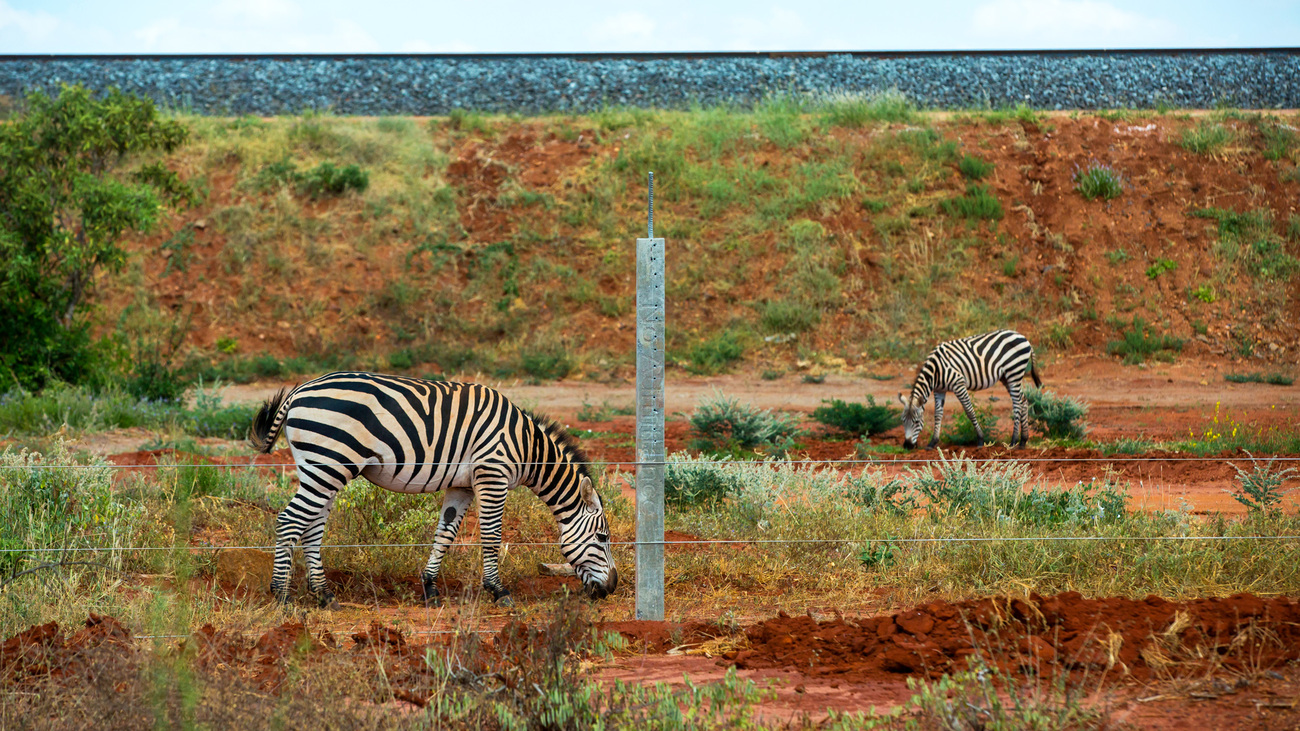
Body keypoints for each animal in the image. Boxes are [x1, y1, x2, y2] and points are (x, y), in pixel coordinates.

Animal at [250, 369, 621, 603]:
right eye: (603, 538)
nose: (613, 588)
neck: (528, 446)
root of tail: (299, 390)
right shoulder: (492, 475)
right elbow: (491, 536)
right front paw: (498, 591)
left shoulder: (463, 485)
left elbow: (445, 533)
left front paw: (429, 589)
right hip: (328, 464)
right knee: (290, 521)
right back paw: (281, 595)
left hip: (323, 468)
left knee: (312, 526)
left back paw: (324, 595)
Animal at [894, 327, 1045, 447]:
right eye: (903, 421)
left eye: (916, 422)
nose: (907, 446)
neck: (935, 370)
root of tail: (1024, 338)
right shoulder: (939, 390)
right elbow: (938, 414)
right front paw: (933, 442)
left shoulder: (958, 384)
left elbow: (969, 411)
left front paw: (980, 439)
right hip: (1006, 377)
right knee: (1023, 400)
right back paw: (1023, 441)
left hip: (1014, 372)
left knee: (1017, 404)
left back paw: (1014, 441)